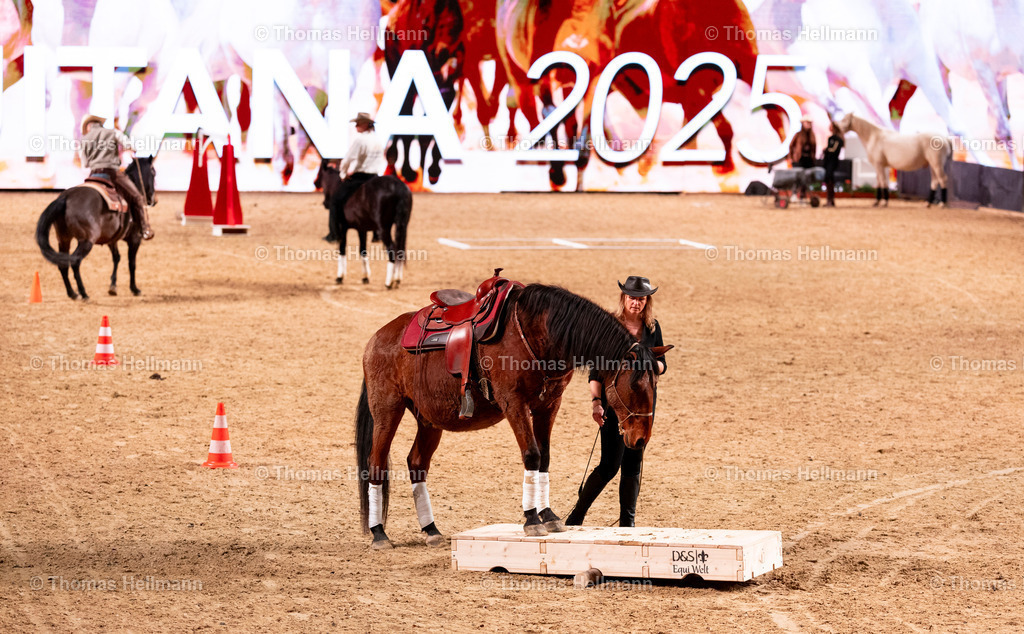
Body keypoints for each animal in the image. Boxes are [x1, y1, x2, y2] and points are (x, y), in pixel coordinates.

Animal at [35, 157, 157, 300]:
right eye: (154, 173)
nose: (153, 200)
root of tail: (65, 198)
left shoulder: (112, 240)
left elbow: (116, 258)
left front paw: (113, 286)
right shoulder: (135, 239)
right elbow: (131, 263)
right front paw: (134, 289)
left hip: (64, 239)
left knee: (63, 264)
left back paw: (72, 293)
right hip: (86, 241)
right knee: (75, 262)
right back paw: (83, 293)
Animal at [356, 280, 672, 549]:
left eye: (656, 382)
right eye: (635, 384)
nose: (641, 438)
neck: (535, 333)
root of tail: (377, 338)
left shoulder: (548, 406)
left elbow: (544, 458)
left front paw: (549, 515)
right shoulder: (514, 404)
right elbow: (531, 454)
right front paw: (532, 520)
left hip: (429, 419)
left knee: (417, 464)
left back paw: (431, 530)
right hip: (387, 409)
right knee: (376, 464)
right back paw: (379, 533)